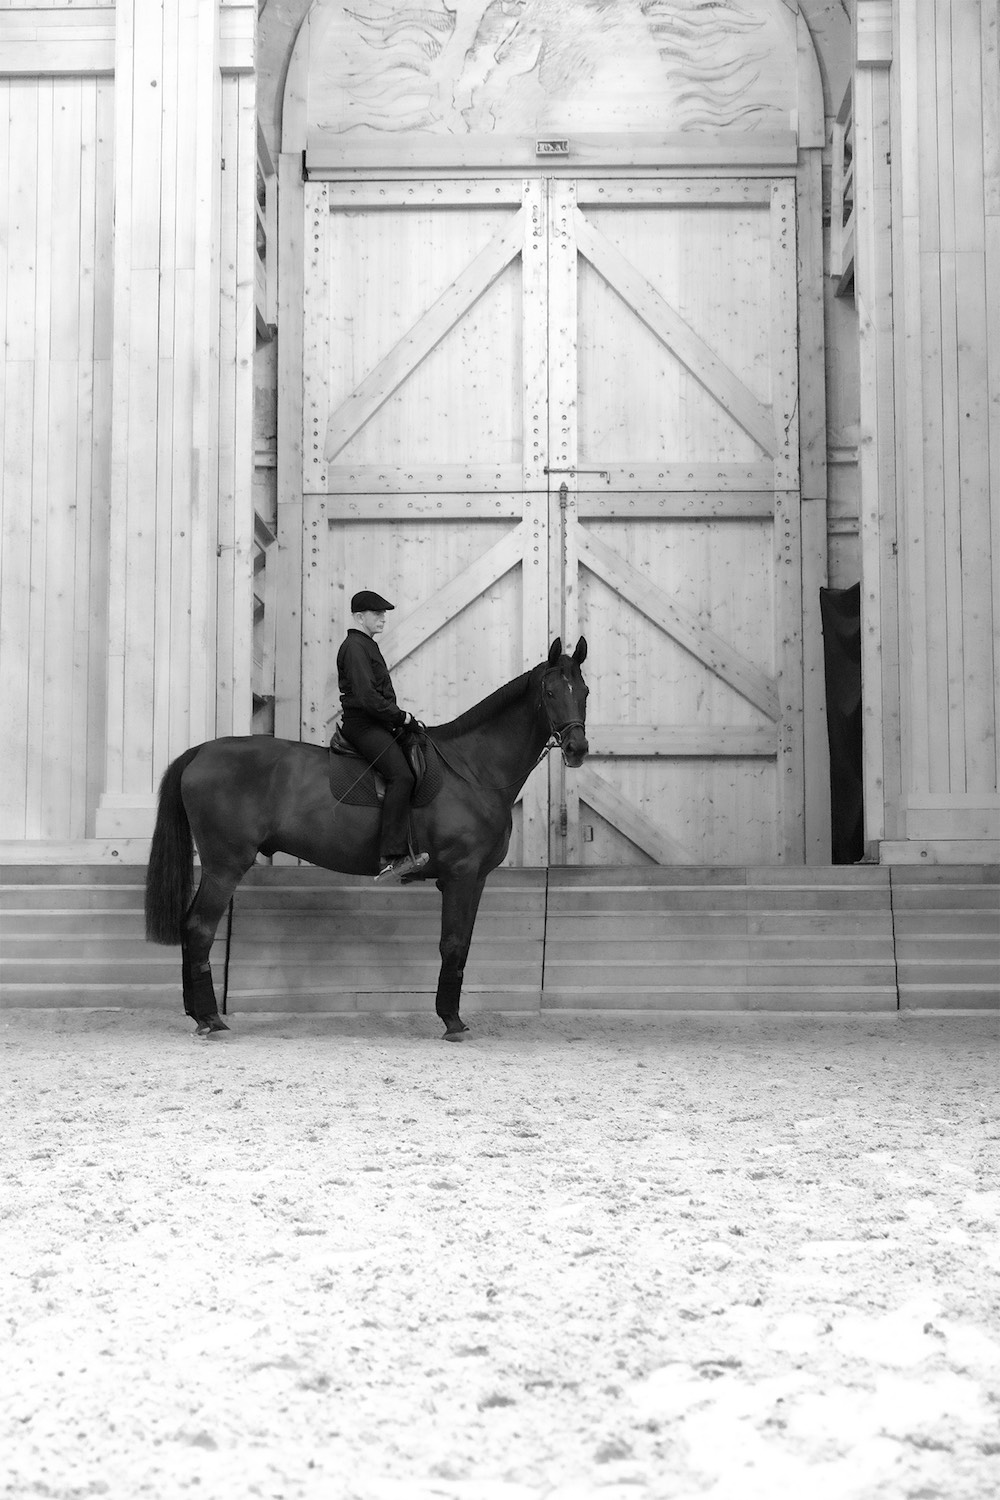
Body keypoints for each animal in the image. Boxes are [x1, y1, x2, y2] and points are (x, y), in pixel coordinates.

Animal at [144, 636, 590, 1044]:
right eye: (551, 693)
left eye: (583, 693)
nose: (578, 748)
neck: (471, 769)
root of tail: (201, 752)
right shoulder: (460, 876)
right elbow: (451, 944)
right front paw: (451, 1022)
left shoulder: (476, 879)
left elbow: (462, 946)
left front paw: (454, 1018)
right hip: (225, 866)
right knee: (199, 928)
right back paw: (210, 1019)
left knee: (190, 926)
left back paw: (197, 1015)